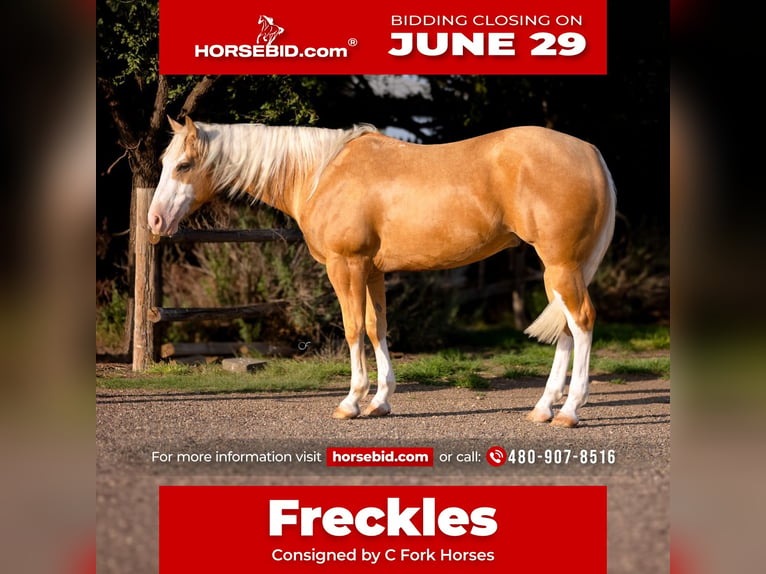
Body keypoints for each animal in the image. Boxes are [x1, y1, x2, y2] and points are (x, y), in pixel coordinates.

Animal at [149, 116, 616, 427]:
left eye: (184, 165)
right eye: (164, 162)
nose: (154, 220)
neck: (320, 174)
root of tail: (591, 153)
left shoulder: (346, 265)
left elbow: (353, 329)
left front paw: (351, 402)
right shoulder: (371, 271)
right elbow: (377, 328)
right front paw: (381, 401)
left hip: (561, 264)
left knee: (582, 322)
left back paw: (569, 410)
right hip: (557, 268)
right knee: (566, 329)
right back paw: (542, 408)